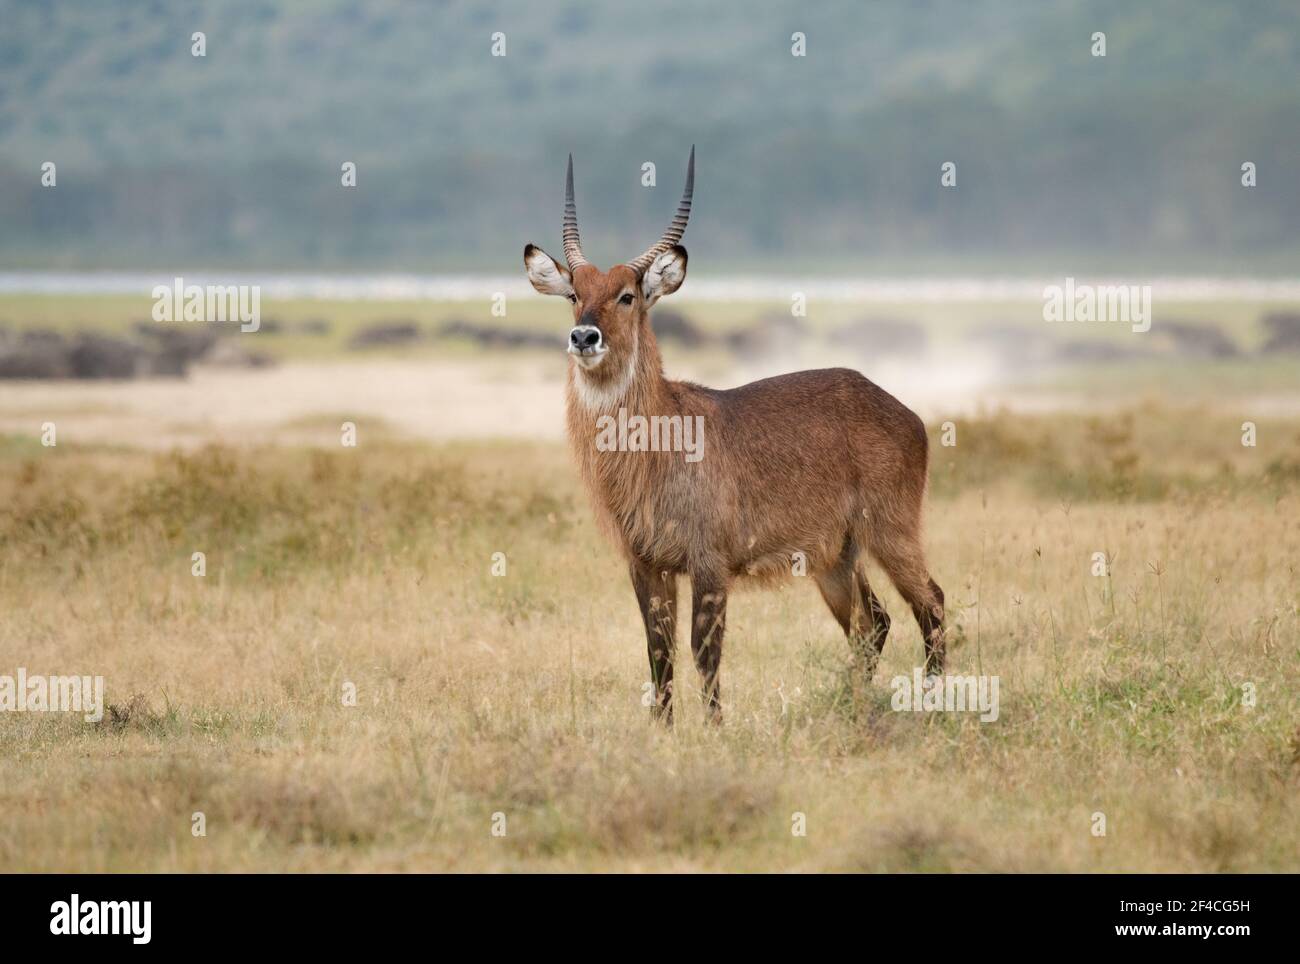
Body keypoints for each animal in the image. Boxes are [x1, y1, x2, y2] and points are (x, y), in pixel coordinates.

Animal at [525, 149, 946, 727]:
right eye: (574, 293)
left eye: (627, 295)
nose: (584, 336)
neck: (659, 439)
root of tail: (905, 412)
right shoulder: (645, 564)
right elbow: (658, 653)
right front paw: (663, 731)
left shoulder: (710, 563)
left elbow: (705, 652)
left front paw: (715, 730)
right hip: (836, 556)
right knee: (873, 623)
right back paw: (856, 708)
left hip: (891, 529)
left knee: (932, 605)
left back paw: (931, 704)